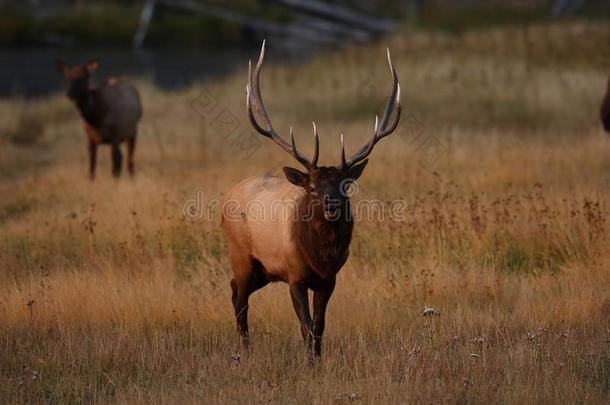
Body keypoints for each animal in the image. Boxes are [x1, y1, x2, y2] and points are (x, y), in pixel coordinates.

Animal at [221, 41, 402, 356]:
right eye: (313, 188)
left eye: (345, 186)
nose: (331, 206)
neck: (320, 258)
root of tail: (228, 194)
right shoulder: (295, 276)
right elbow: (305, 327)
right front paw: (308, 361)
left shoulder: (328, 281)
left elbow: (319, 327)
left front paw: (318, 359)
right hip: (241, 255)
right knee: (239, 299)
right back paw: (245, 350)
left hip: (263, 271)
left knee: (233, 290)